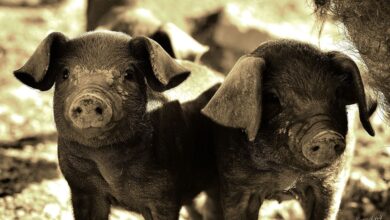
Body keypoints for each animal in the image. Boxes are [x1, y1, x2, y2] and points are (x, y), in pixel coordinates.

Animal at [12, 30, 222, 220]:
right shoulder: (81, 187)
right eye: (64, 74)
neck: (108, 165)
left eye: (128, 74)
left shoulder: (165, 194)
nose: (89, 98)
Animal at [201, 40, 374, 220]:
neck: (286, 177)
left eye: (338, 94)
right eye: (272, 98)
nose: (326, 134)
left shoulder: (331, 182)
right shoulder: (235, 184)